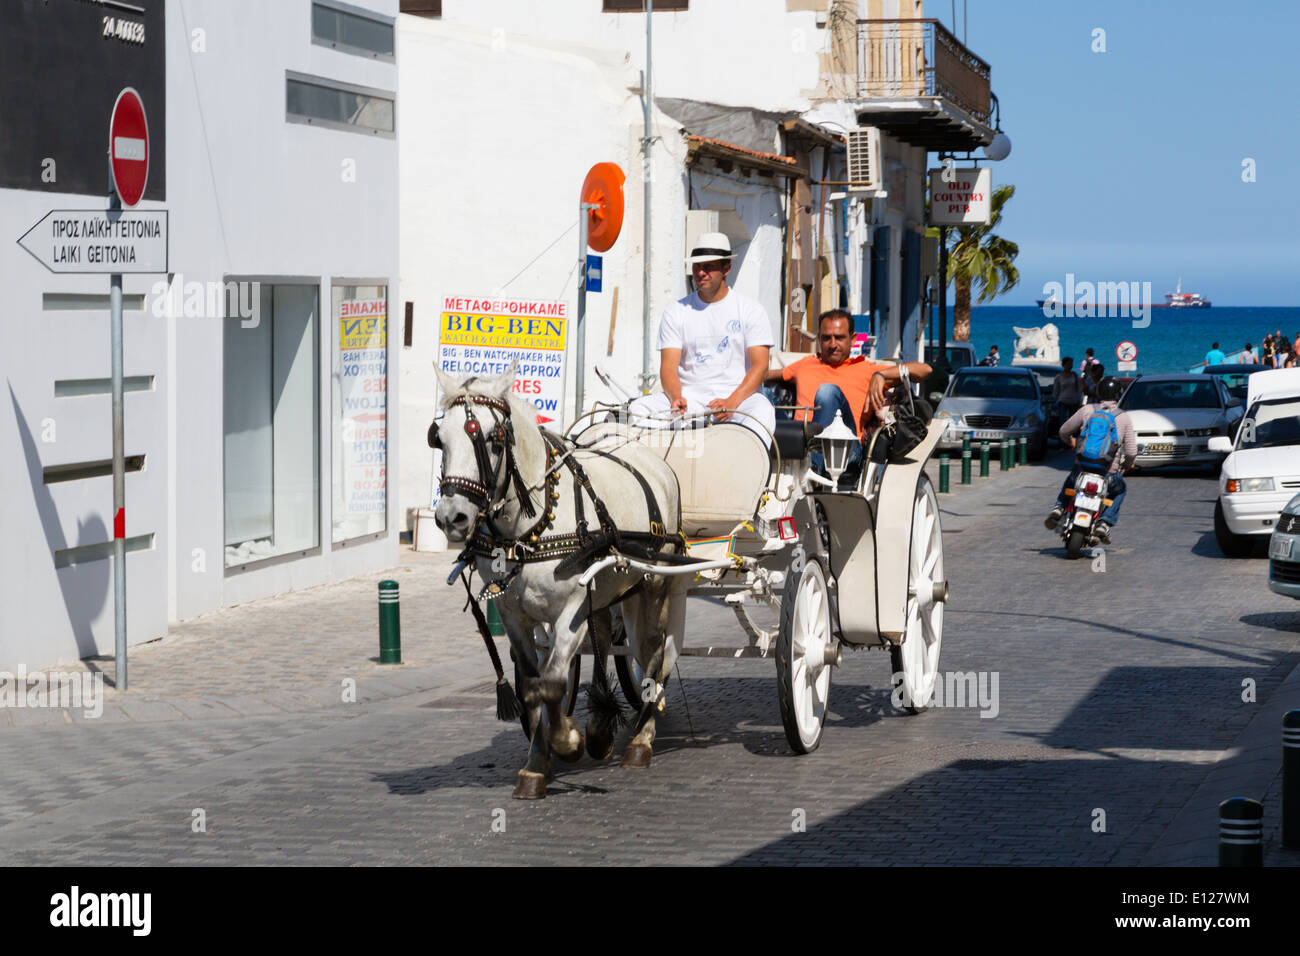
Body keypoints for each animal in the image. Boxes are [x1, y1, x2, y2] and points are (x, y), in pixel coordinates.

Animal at [431, 366, 691, 801]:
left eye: (493, 439)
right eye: (439, 437)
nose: (452, 517)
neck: (529, 528)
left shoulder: (571, 611)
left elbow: (552, 682)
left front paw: (567, 741)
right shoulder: (513, 616)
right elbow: (532, 687)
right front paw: (539, 762)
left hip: (654, 583)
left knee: (654, 653)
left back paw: (641, 738)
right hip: (607, 589)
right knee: (605, 639)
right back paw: (602, 727)